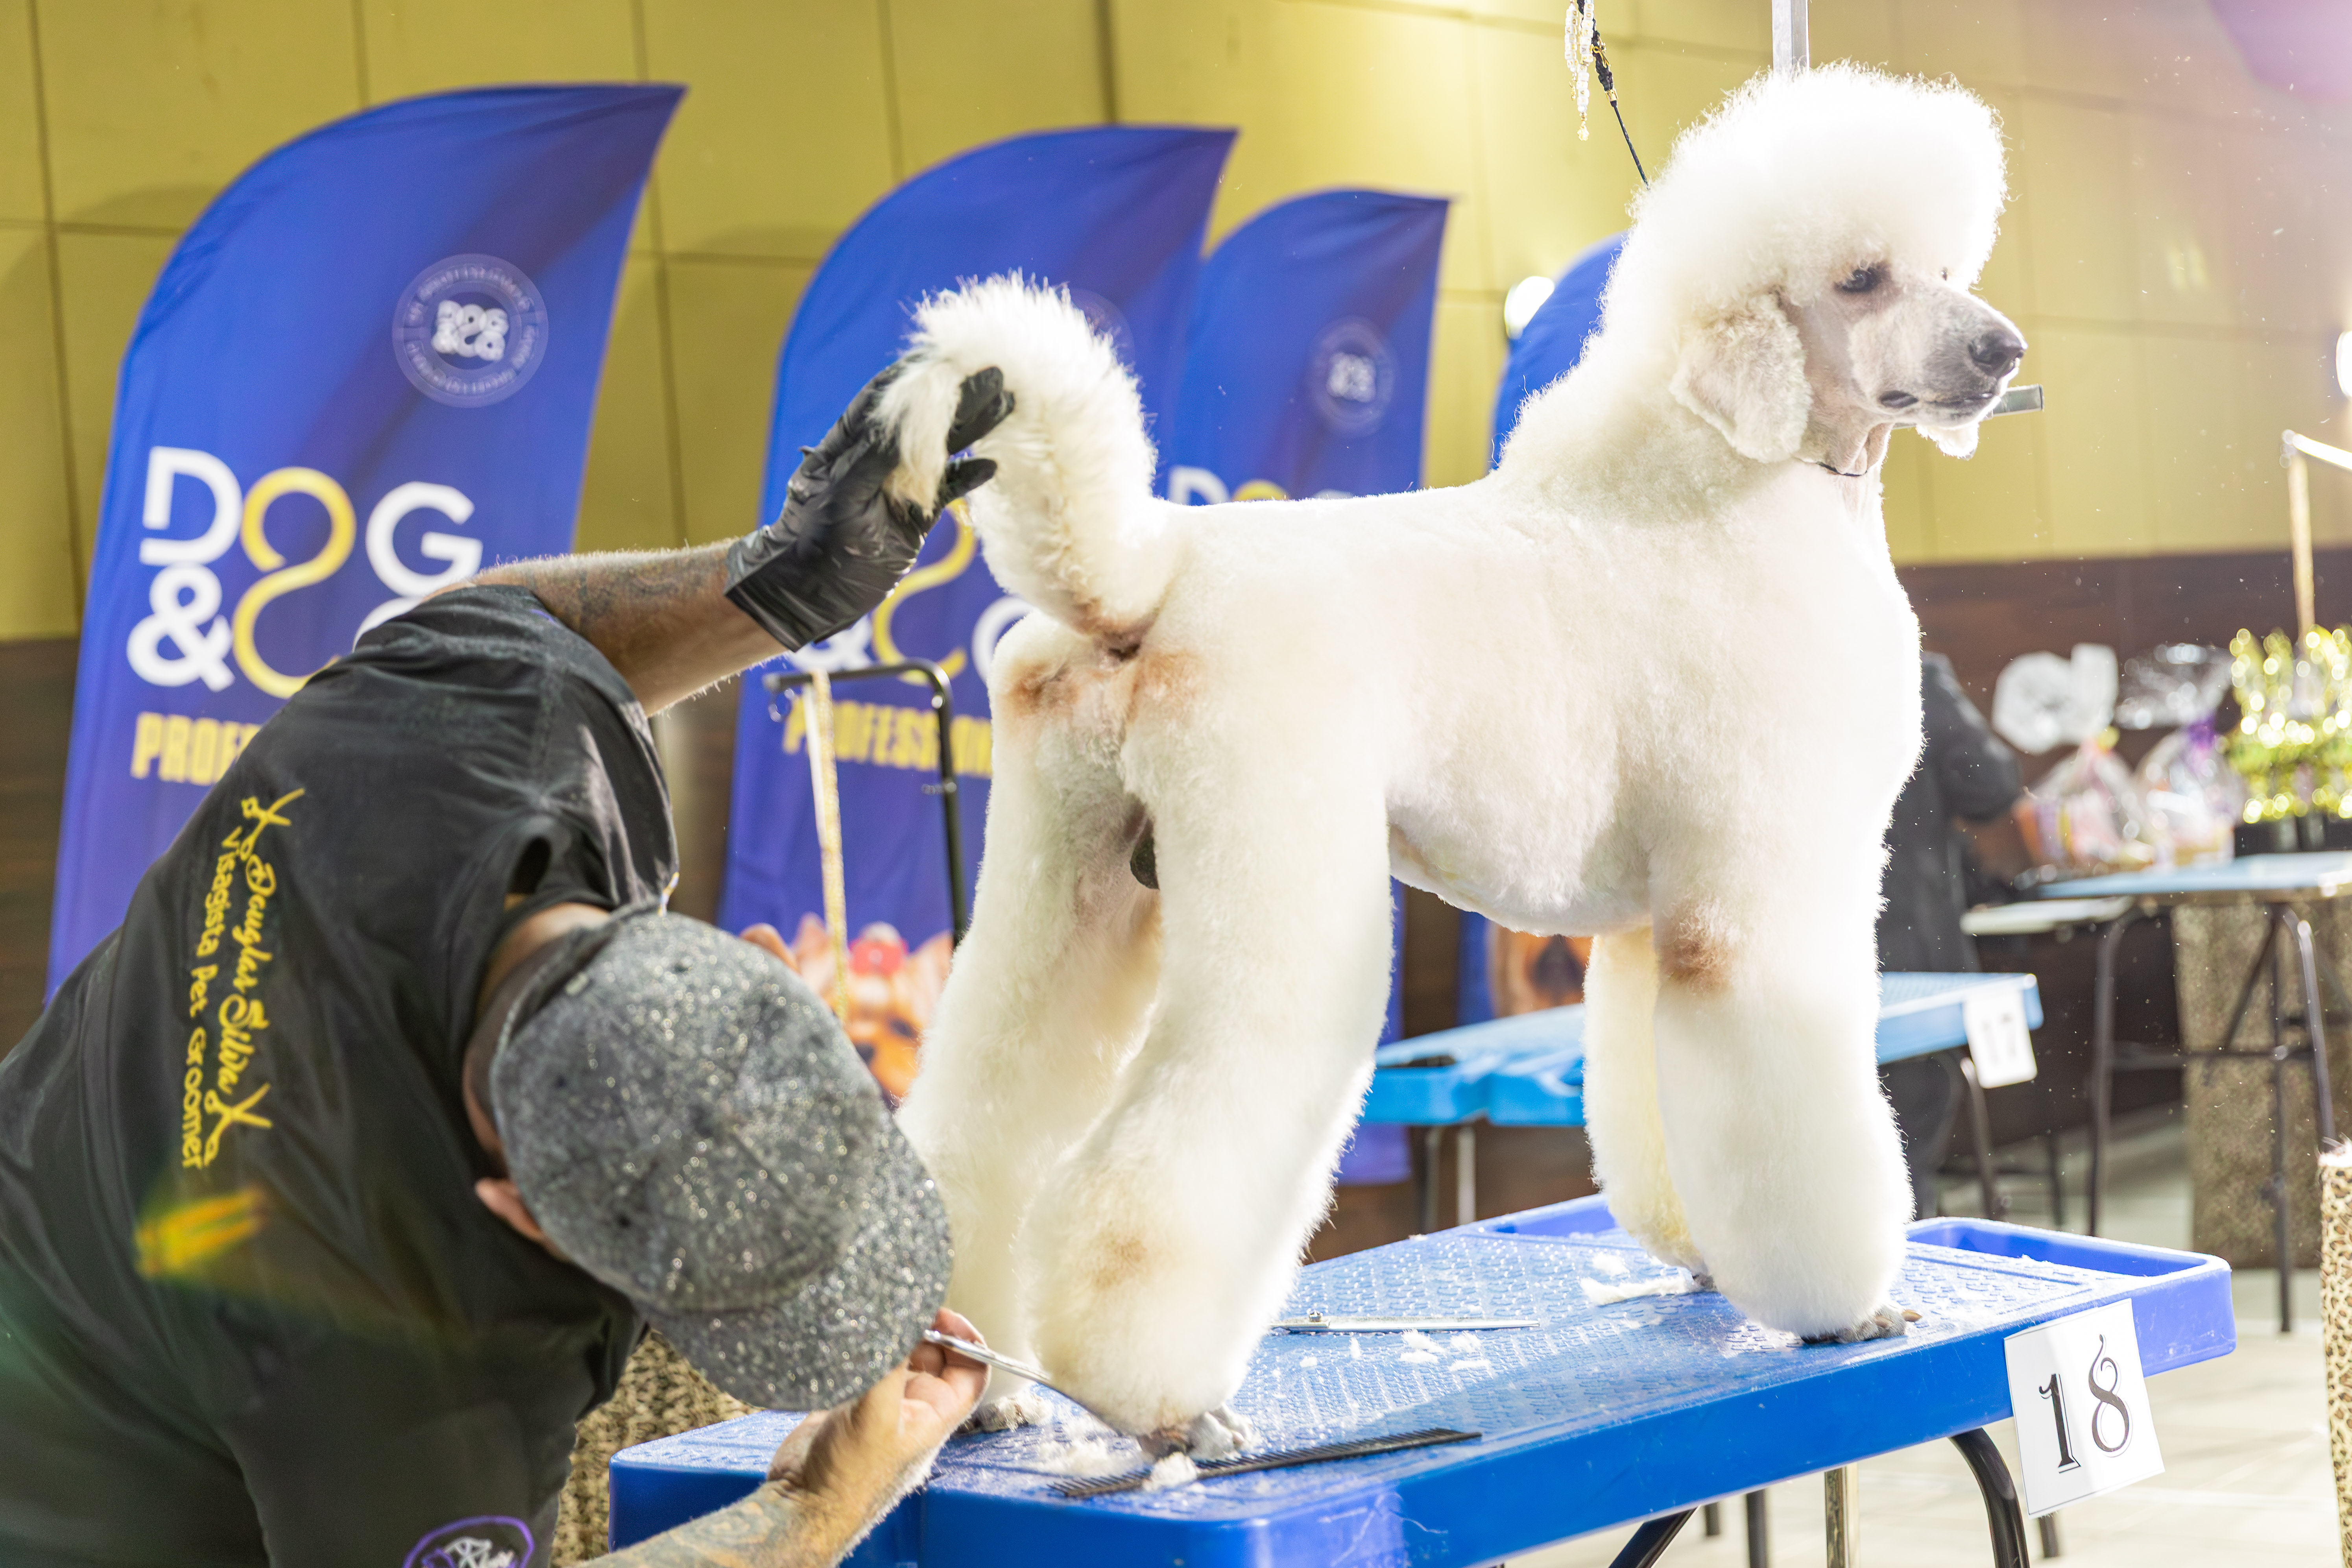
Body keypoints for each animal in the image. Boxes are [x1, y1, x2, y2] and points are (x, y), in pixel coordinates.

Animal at [889, 65, 2021, 1451]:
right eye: (1863, 277)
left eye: (1947, 265)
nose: (2001, 351)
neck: (1735, 479)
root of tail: (1139, 579)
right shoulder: (1757, 901)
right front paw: (1844, 1303)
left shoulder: (1653, 922)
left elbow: (1659, 1098)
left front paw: (1704, 1253)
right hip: (1279, 871)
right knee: (1161, 1160)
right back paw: (1158, 1405)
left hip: (1072, 882)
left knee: (986, 1116)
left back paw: (971, 1370)